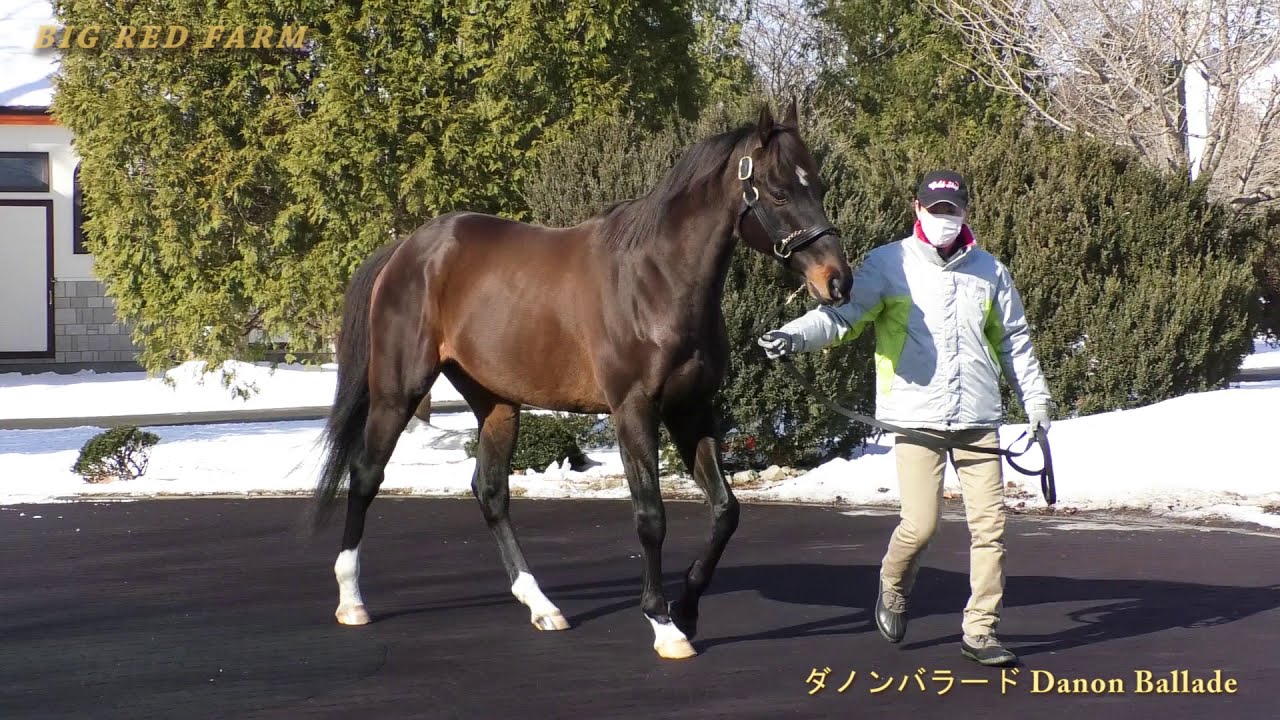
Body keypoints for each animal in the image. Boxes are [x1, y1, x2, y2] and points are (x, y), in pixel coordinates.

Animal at [310, 98, 854, 660]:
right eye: (779, 191)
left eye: (818, 187)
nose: (837, 281)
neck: (655, 280)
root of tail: (406, 250)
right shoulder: (633, 410)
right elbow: (650, 516)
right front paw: (662, 623)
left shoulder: (691, 409)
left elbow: (725, 511)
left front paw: (686, 609)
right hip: (398, 392)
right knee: (365, 476)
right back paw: (352, 601)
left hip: (496, 403)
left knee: (491, 492)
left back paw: (543, 607)